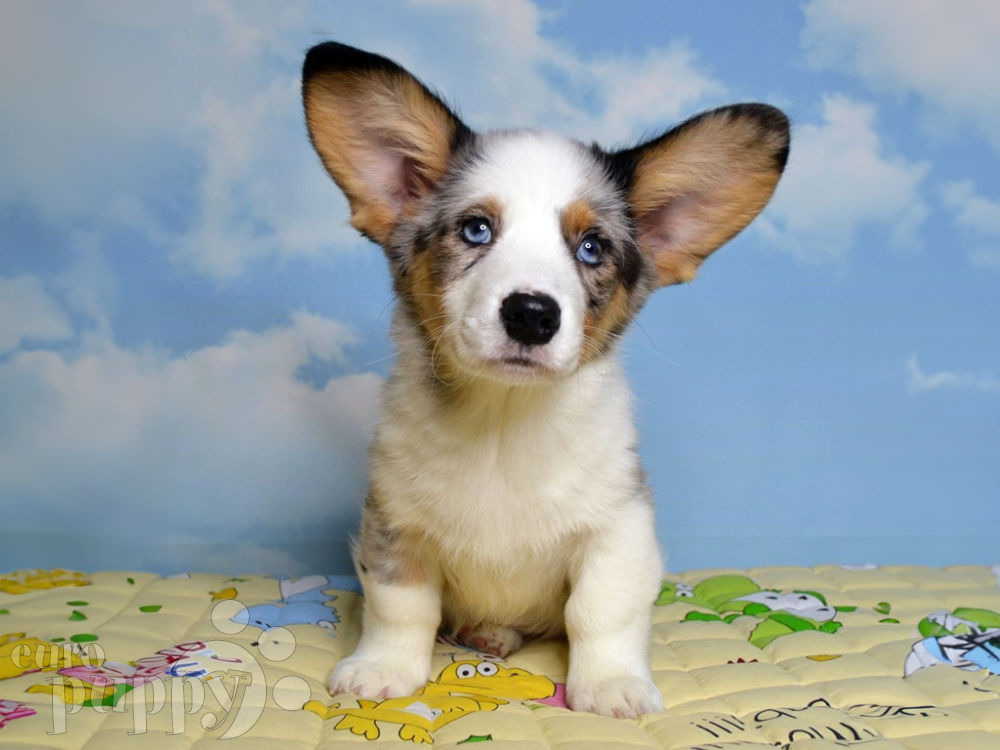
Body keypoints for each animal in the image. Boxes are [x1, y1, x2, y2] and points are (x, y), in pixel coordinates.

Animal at [300, 39, 784, 716]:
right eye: (476, 228)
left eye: (591, 247)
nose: (531, 314)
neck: (503, 418)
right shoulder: (395, 524)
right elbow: (401, 607)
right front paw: (382, 669)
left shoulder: (618, 529)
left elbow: (600, 613)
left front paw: (610, 686)